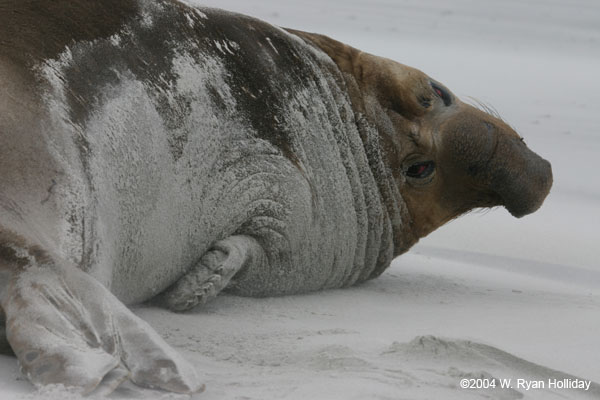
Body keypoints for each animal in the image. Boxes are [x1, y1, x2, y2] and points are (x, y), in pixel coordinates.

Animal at [0, 0, 552, 396]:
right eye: (435, 92)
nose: (530, 178)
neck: (358, 129)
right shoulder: (293, 208)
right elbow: (258, 245)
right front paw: (200, 282)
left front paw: (198, 280)